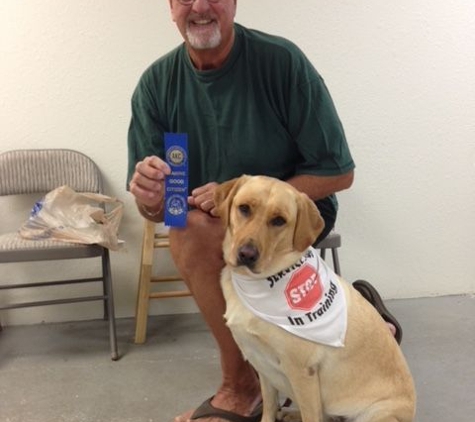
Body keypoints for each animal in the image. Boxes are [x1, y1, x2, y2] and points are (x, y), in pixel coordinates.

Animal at [215, 173, 416, 420]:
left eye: (279, 220)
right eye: (244, 208)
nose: (246, 254)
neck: (259, 282)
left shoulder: (302, 371)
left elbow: (310, 415)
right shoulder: (262, 364)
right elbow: (270, 408)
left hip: (375, 413)